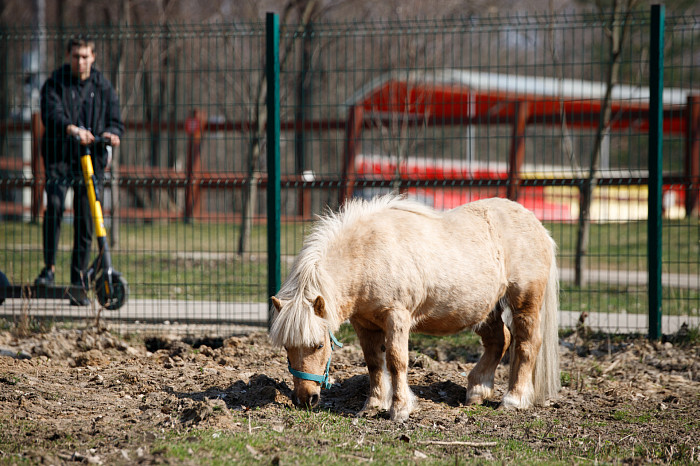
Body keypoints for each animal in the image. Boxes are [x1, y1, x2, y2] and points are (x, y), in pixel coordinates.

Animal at [268, 194, 556, 422]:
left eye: (319, 345)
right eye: (287, 348)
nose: (305, 399)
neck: (367, 254)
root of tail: (535, 224)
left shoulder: (397, 318)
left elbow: (396, 361)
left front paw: (399, 409)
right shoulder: (364, 324)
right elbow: (373, 363)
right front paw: (372, 405)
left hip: (524, 302)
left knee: (527, 344)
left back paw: (513, 399)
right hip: (486, 309)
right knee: (500, 341)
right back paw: (477, 391)